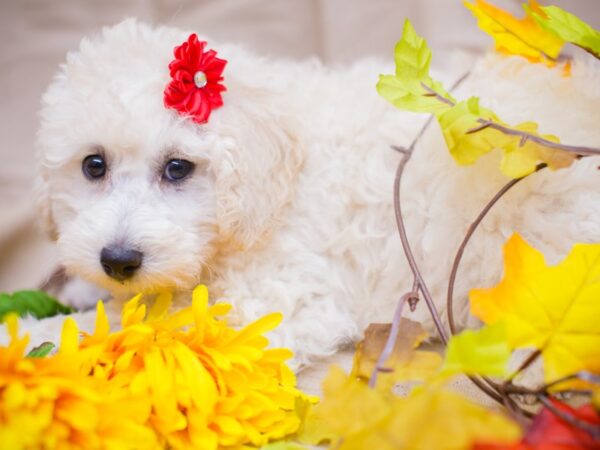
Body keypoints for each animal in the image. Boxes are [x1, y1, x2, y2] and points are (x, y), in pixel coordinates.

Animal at [15, 19, 600, 368]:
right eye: (93, 166)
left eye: (178, 168)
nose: (118, 260)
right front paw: (83, 292)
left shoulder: (274, 300)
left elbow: (141, 323)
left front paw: (41, 329)